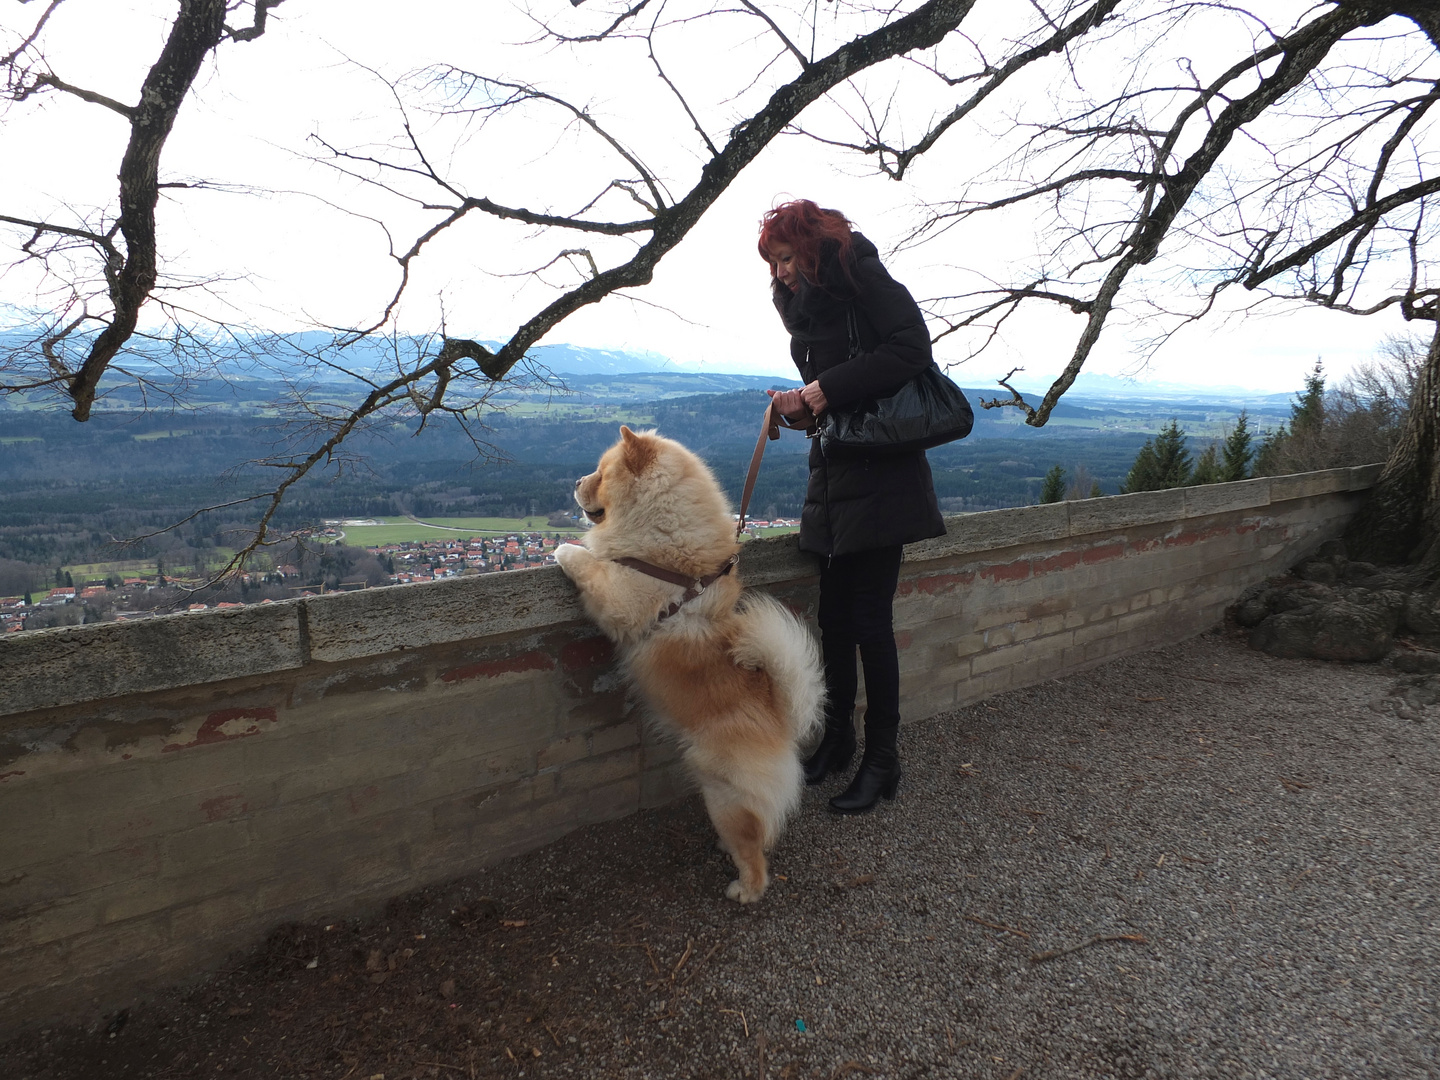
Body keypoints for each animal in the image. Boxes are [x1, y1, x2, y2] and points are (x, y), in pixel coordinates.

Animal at [550, 426, 823, 898]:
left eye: (601, 473)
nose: (577, 481)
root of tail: (781, 718)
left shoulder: (622, 597)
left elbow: (589, 564)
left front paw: (564, 549)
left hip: (724, 794)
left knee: (753, 847)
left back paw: (744, 888)